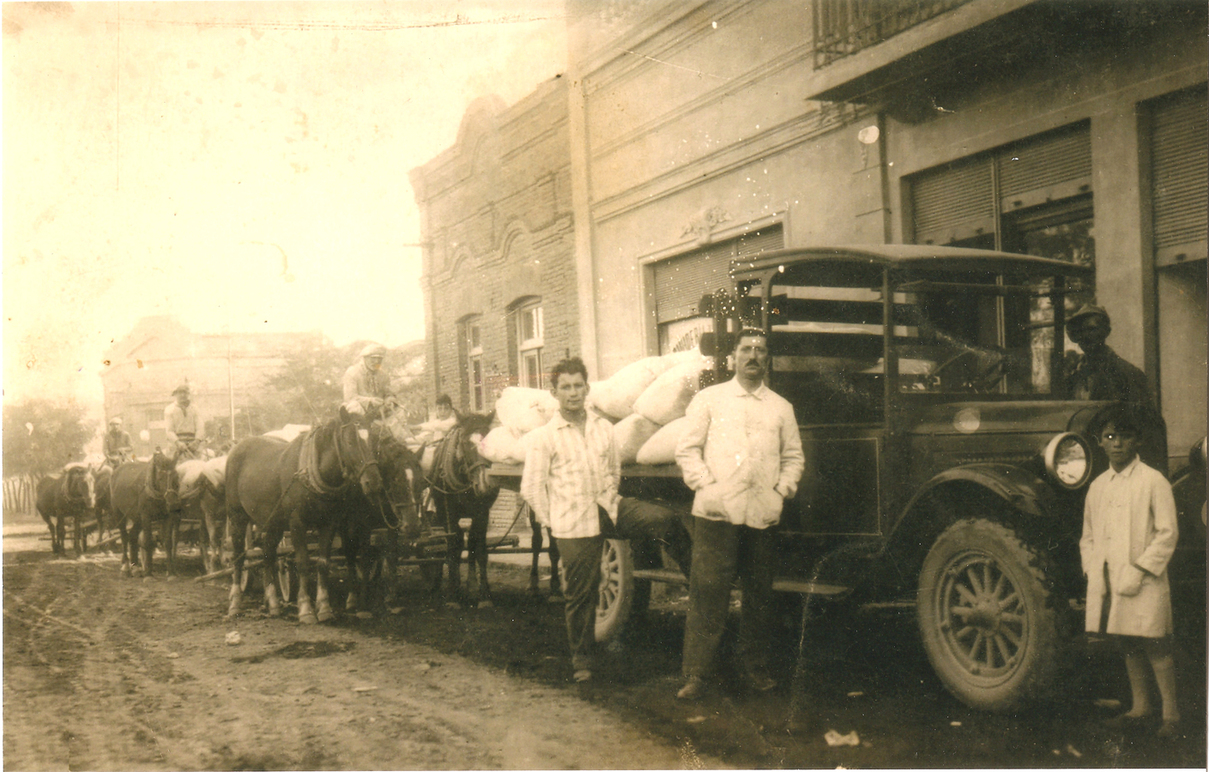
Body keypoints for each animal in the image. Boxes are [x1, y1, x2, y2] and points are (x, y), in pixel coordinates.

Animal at [222, 408, 382, 623]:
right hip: (237, 517)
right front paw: (306, 609)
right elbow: (303, 562)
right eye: (350, 442)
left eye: (372, 439)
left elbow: (323, 562)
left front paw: (324, 607)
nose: (374, 482)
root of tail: (236, 447)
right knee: (239, 557)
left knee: (268, 554)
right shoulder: (297, 523)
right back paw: (235, 603)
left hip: (273, 522)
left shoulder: (329, 523)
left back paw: (273, 603)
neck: (312, 472)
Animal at [427, 413, 498, 606]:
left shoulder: (482, 513)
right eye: (466, 443)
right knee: (458, 541)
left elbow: (479, 549)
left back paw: (470, 585)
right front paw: (452, 595)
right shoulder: (447, 514)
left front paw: (484, 595)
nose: (484, 484)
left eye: (488, 439)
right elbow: (453, 548)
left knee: (471, 541)